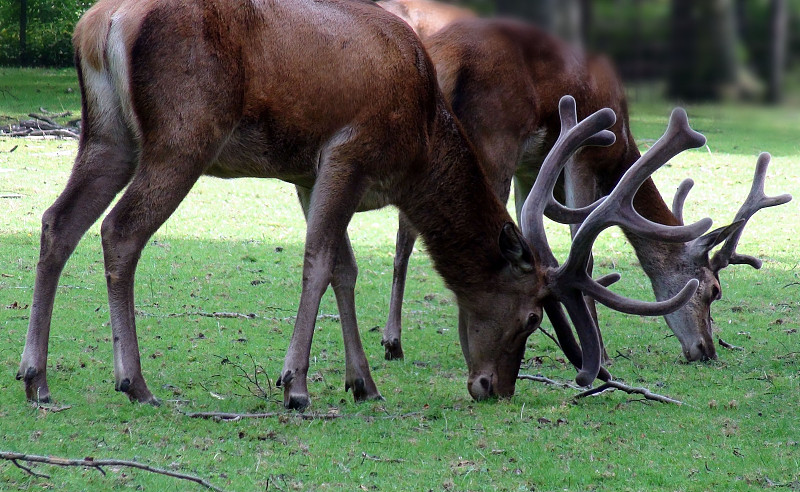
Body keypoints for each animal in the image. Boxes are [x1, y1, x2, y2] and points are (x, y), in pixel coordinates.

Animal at [18, 0, 704, 410]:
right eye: (534, 316)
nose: (493, 388)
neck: (419, 144)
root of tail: (98, 23)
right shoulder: (348, 153)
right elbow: (319, 262)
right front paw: (296, 386)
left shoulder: (307, 173)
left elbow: (344, 269)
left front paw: (363, 381)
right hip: (183, 135)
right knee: (119, 232)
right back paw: (133, 382)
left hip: (109, 134)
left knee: (57, 223)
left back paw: (36, 378)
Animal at [372, 2, 792, 362]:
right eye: (713, 291)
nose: (706, 349)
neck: (622, 150)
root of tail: (443, 59)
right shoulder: (585, 155)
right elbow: (582, 250)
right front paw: (600, 351)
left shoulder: (531, 167)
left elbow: (536, 246)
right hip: (492, 138)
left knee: (405, 233)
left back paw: (393, 341)